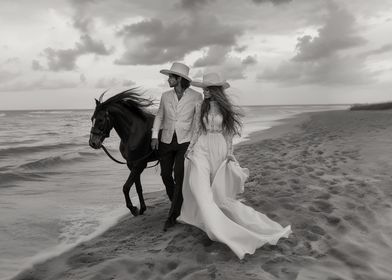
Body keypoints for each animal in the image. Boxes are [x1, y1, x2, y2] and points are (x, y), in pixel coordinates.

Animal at [89, 89, 158, 217]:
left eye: (100, 120)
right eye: (92, 119)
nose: (92, 143)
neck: (134, 132)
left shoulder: (140, 164)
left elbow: (125, 187)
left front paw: (133, 208)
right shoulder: (131, 165)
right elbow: (138, 187)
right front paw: (142, 208)